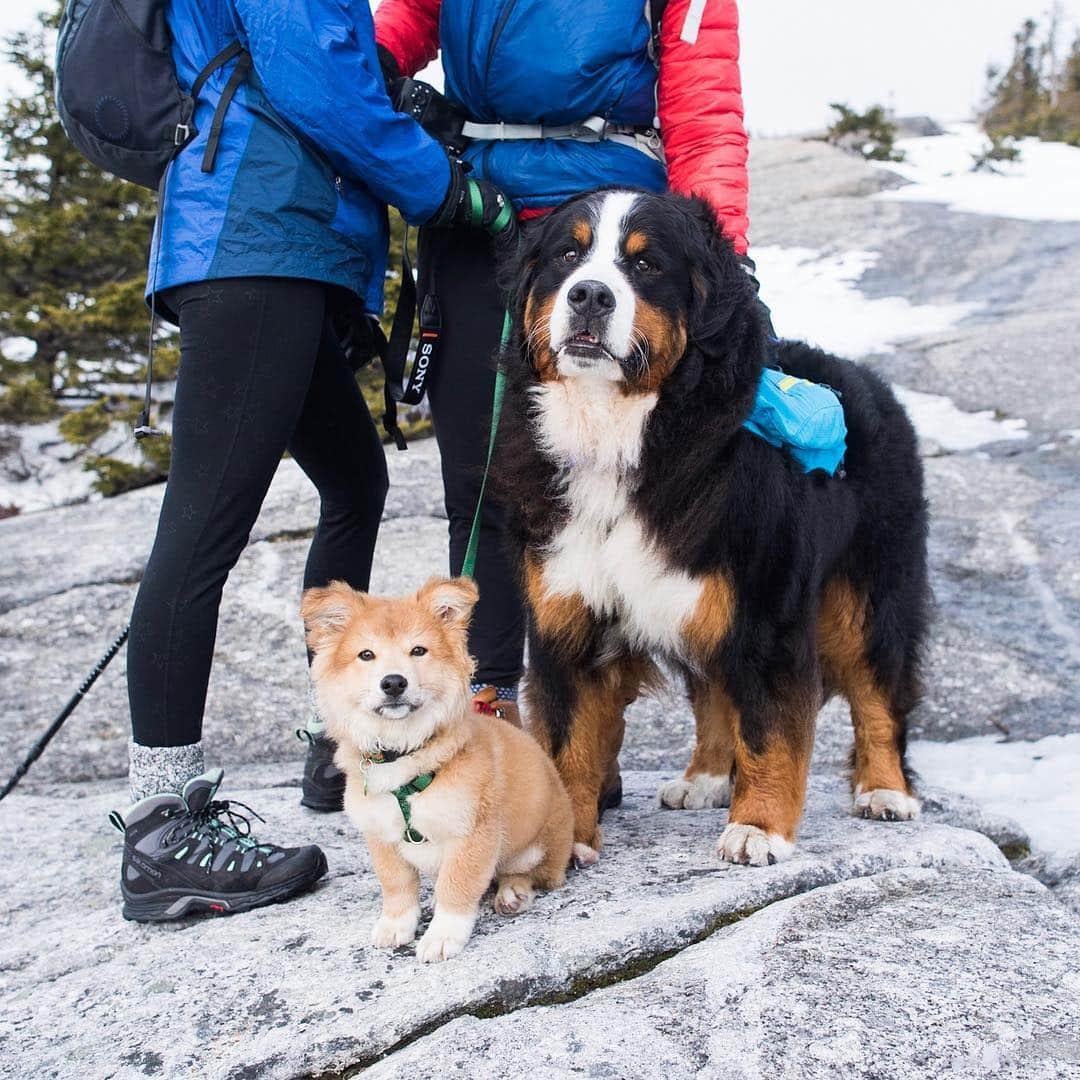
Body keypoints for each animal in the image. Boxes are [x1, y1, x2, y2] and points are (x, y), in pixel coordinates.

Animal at [304, 578, 574, 967]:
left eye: (418, 651)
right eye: (366, 655)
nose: (394, 683)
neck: (404, 753)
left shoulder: (472, 834)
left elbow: (458, 887)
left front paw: (444, 936)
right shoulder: (380, 835)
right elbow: (396, 885)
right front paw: (397, 924)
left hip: (536, 847)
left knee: (527, 873)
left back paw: (513, 893)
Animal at [496, 187, 928, 868]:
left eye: (647, 265)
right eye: (568, 254)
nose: (589, 295)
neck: (619, 435)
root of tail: (873, 382)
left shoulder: (766, 611)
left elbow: (771, 730)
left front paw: (758, 827)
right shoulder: (569, 616)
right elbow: (570, 740)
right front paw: (562, 840)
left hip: (867, 593)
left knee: (877, 688)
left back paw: (886, 790)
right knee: (714, 689)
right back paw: (702, 778)